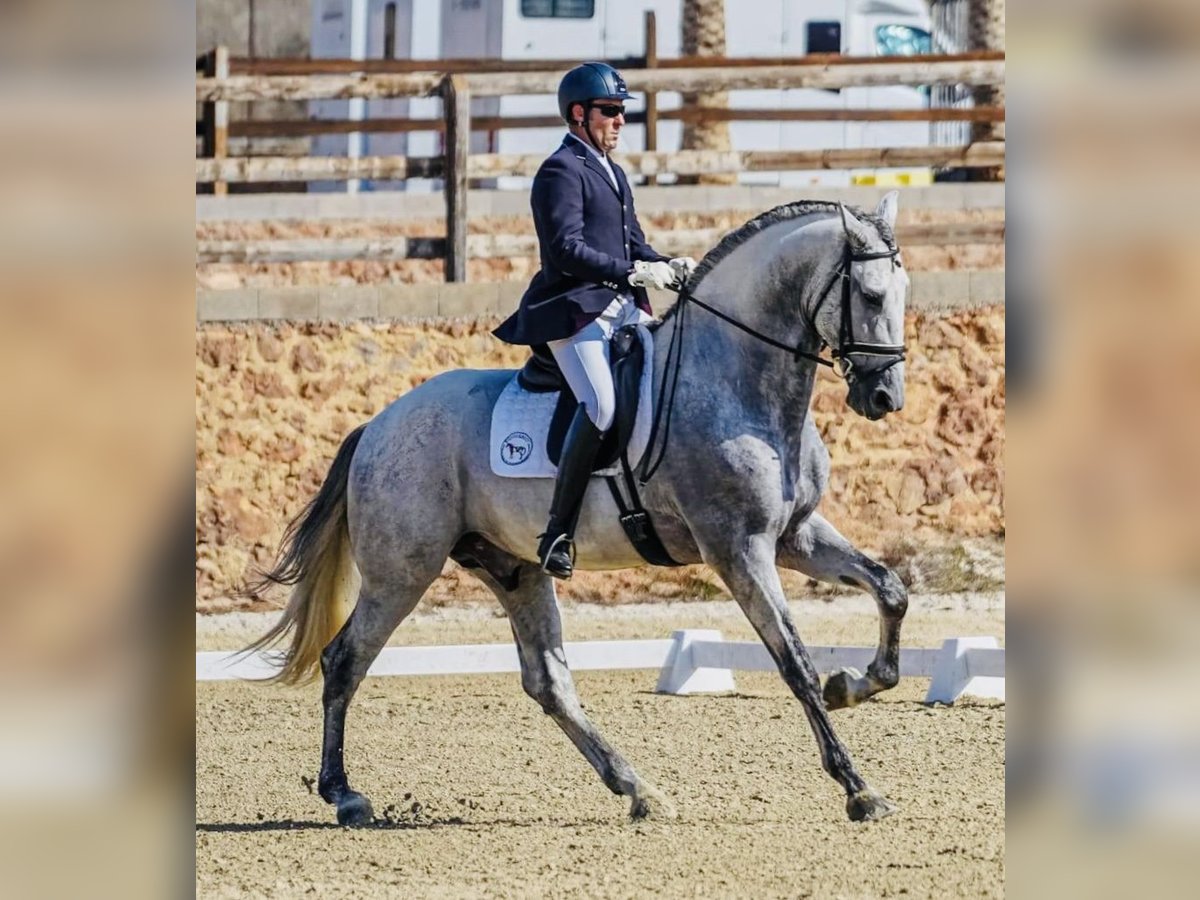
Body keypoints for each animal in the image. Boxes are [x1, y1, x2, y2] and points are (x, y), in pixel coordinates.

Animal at [250, 194, 907, 830]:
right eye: (871, 295)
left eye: (902, 292)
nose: (884, 398)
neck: (733, 378)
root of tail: (377, 425)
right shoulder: (738, 549)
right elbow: (794, 662)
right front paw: (859, 788)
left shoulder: (795, 535)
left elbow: (890, 589)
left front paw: (852, 684)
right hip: (402, 573)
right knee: (345, 660)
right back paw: (344, 796)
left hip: (515, 570)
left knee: (549, 681)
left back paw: (639, 789)